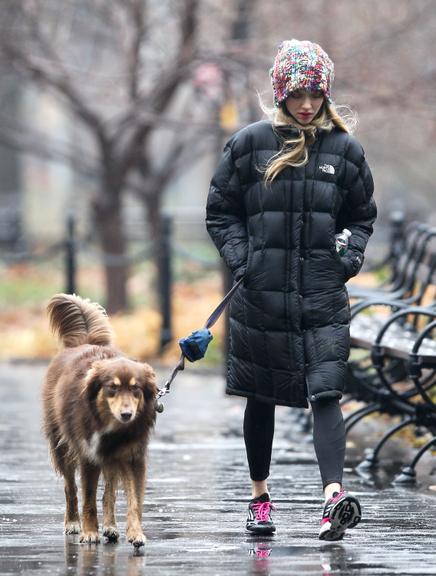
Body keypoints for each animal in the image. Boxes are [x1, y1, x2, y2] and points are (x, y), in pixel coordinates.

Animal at [42, 294, 157, 548]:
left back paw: (111, 527)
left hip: (112, 460)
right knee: (70, 487)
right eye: (112, 388)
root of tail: (85, 341)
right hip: (61, 447)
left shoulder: (133, 458)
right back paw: (73, 522)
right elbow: (88, 498)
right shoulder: (89, 456)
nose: (127, 415)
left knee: (109, 493)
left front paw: (136, 532)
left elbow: (134, 500)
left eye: (135, 389)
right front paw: (89, 532)